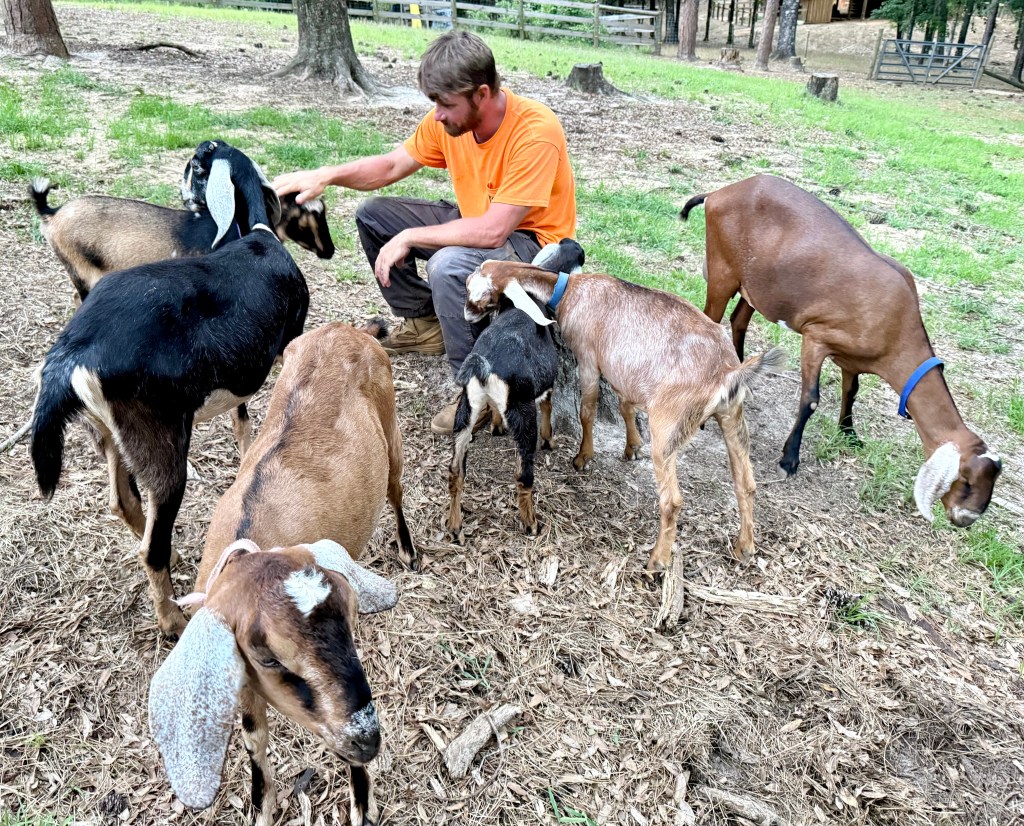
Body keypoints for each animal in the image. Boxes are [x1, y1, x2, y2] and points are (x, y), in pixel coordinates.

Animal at [31, 139, 309, 638]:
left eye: (199, 165)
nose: (186, 175)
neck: (256, 235)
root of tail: (75, 351)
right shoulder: (284, 348)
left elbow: (241, 415)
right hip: (161, 442)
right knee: (151, 545)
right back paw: (172, 619)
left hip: (113, 434)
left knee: (123, 500)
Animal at [149, 538, 396, 826]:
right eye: (268, 659)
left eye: (352, 616)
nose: (367, 741)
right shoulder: (246, 676)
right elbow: (254, 735)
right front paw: (262, 805)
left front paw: (364, 804)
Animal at [446, 239, 586, 542]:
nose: (575, 245)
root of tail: (484, 363)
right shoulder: (545, 388)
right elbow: (548, 409)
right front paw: (549, 441)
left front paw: (497, 426)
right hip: (523, 415)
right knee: (523, 476)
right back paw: (530, 523)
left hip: (466, 410)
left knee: (455, 471)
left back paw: (454, 525)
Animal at [464, 252, 786, 573]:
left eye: (475, 291)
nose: (467, 315)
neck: (571, 290)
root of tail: (728, 371)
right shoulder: (623, 373)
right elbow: (625, 406)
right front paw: (632, 446)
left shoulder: (588, 358)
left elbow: (587, 410)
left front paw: (583, 457)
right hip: (732, 415)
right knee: (746, 483)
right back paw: (745, 547)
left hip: (668, 425)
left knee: (672, 500)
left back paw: (656, 562)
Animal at [681, 174, 1002, 526]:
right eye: (967, 481)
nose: (965, 519)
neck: (896, 322)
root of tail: (720, 193)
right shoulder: (816, 337)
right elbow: (810, 400)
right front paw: (789, 460)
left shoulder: (853, 357)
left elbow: (852, 389)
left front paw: (849, 432)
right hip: (723, 270)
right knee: (710, 320)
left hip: (756, 285)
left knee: (739, 319)